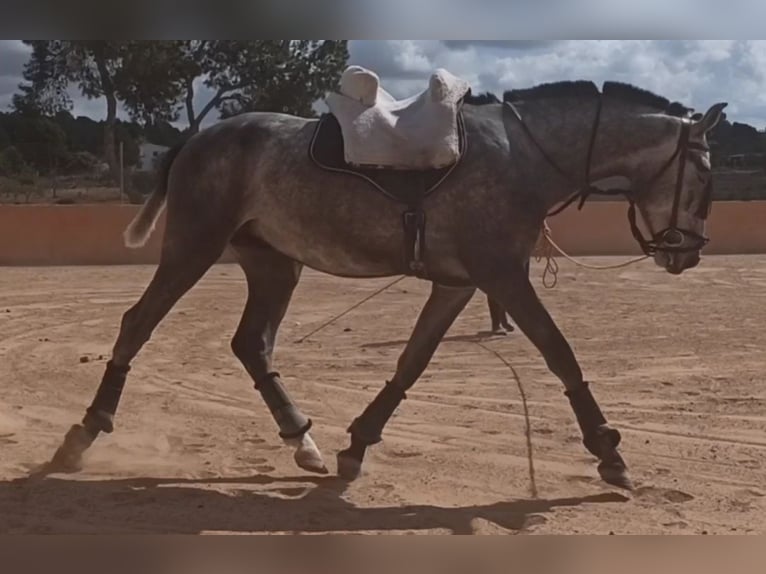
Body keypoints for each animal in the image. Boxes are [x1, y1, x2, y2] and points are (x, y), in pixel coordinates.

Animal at [48, 76, 728, 492]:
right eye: (704, 176)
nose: (687, 255)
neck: (522, 156)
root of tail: (202, 136)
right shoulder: (502, 276)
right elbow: (561, 355)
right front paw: (608, 450)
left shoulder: (458, 284)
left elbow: (411, 362)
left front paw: (358, 443)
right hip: (193, 247)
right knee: (138, 324)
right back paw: (84, 432)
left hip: (274, 263)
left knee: (252, 345)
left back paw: (303, 440)